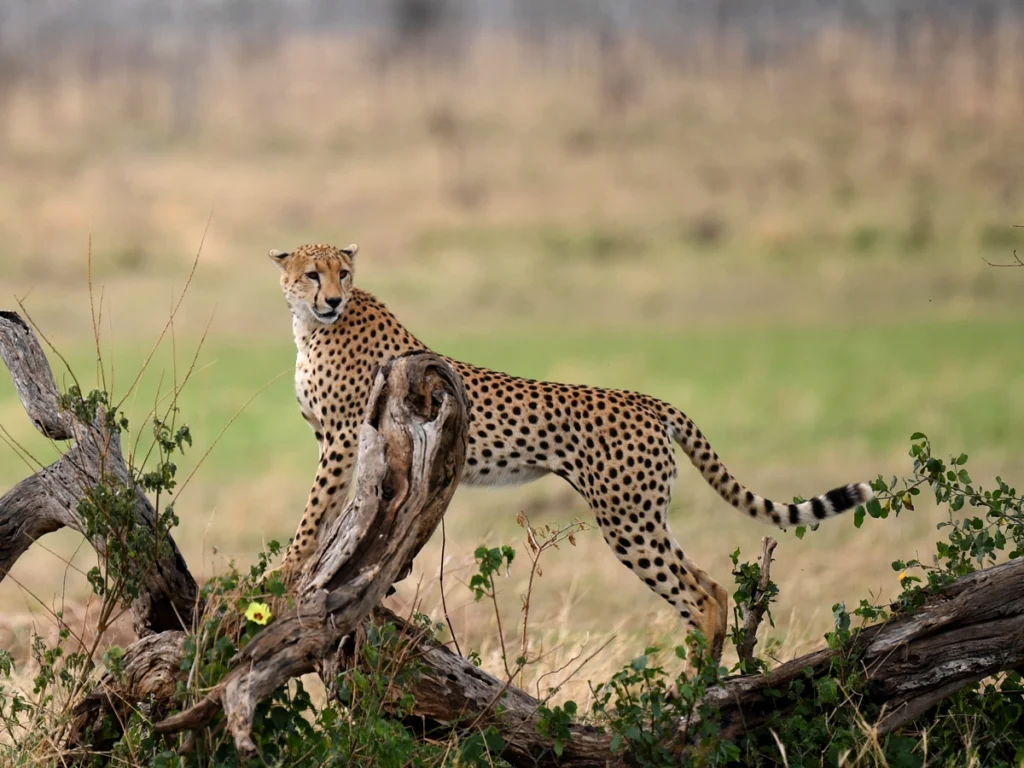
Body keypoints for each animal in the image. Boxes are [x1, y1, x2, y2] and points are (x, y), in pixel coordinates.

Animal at [270, 243, 872, 659]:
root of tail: (647, 400)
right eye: (311, 273)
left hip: (628, 519)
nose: (332, 298)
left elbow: (314, 513)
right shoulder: (340, 441)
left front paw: (287, 572)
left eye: (342, 272)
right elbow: (334, 516)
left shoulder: (342, 440)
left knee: (697, 597)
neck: (311, 326)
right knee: (714, 587)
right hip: (646, 514)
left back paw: (690, 699)